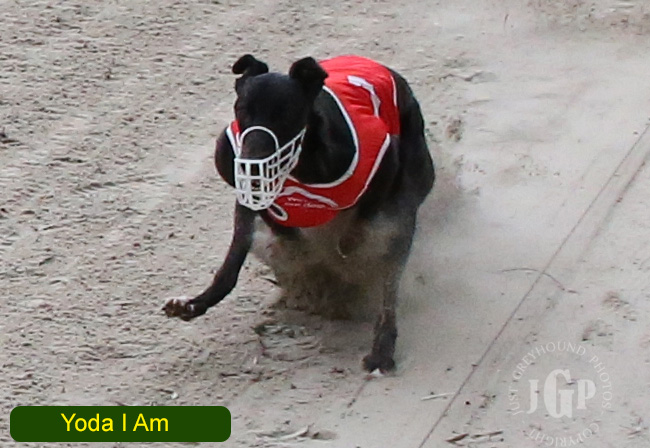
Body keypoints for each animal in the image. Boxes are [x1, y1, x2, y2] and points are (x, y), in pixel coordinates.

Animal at [164, 54, 435, 372]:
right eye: (241, 109)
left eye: (286, 113)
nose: (251, 164)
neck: (302, 167)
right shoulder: (246, 191)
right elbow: (239, 257)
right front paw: (194, 303)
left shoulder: (385, 159)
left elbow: (361, 226)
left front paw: (346, 248)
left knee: (389, 287)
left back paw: (381, 350)